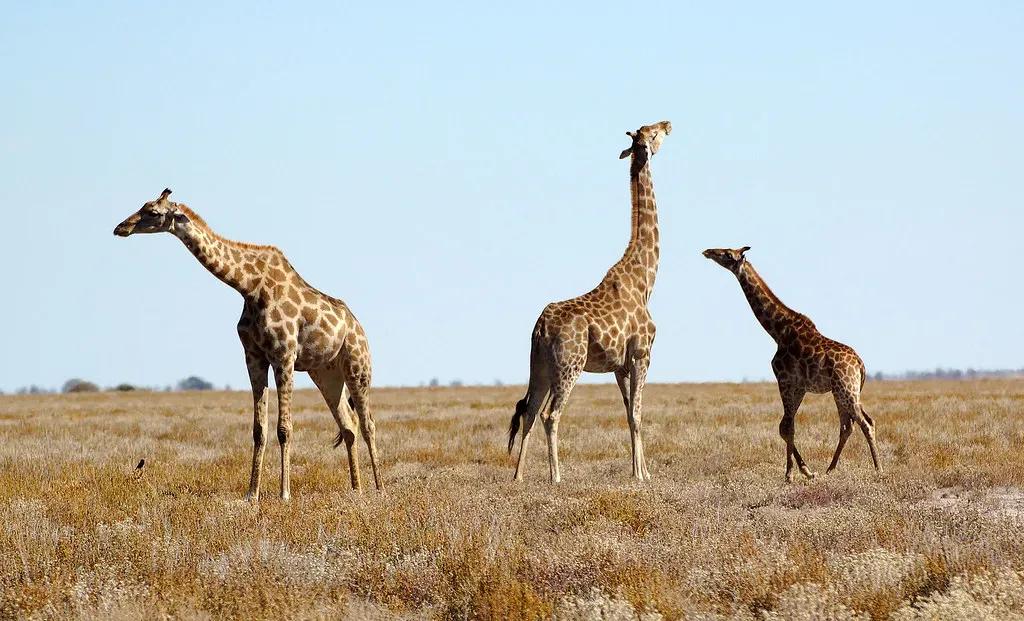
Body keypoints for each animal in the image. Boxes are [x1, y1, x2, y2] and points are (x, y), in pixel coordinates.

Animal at [114, 189, 383, 501]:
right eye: (143, 205)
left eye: (154, 213)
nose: (121, 227)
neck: (249, 287)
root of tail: (358, 326)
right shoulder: (253, 356)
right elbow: (259, 429)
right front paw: (252, 493)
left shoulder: (284, 355)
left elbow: (284, 428)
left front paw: (284, 494)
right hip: (326, 373)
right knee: (348, 425)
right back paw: (356, 489)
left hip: (357, 366)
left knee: (367, 423)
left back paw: (379, 488)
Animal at [507, 121, 671, 483]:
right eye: (653, 134)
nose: (669, 124)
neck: (645, 281)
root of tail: (541, 328)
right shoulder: (642, 353)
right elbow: (638, 414)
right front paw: (644, 475)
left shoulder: (619, 364)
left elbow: (628, 413)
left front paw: (637, 471)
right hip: (570, 365)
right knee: (550, 415)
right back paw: (556, 477)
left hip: (539, 365)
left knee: (528, 411)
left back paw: (518, 476)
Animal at [702, 246, 881, 481]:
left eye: (727, 255)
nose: (707, 251)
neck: (777, 331)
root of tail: (861, 364)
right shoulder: (799, 387)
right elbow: (784, 426)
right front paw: (806, 471)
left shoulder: (785, 380)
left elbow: (787, 427)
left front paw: (791, 474)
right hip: (840, 391)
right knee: (847, 425)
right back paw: (830, 469)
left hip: (846, 389)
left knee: (865, 423)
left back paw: (878, 468)